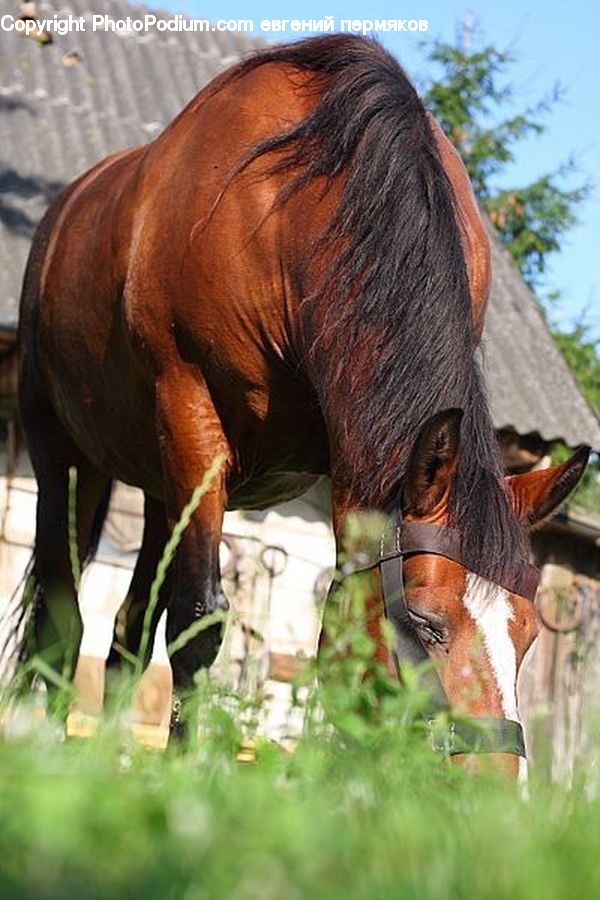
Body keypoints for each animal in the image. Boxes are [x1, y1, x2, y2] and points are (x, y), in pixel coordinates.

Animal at [13, 34, 588, 772]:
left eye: (528, 635)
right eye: (426, 623)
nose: (493, 783)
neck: (290, 212)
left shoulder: (353, 461)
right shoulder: (193, 417)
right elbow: (199, 620)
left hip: (159, 487)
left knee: (128, 625)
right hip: (62, 449)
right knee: (63, 616)